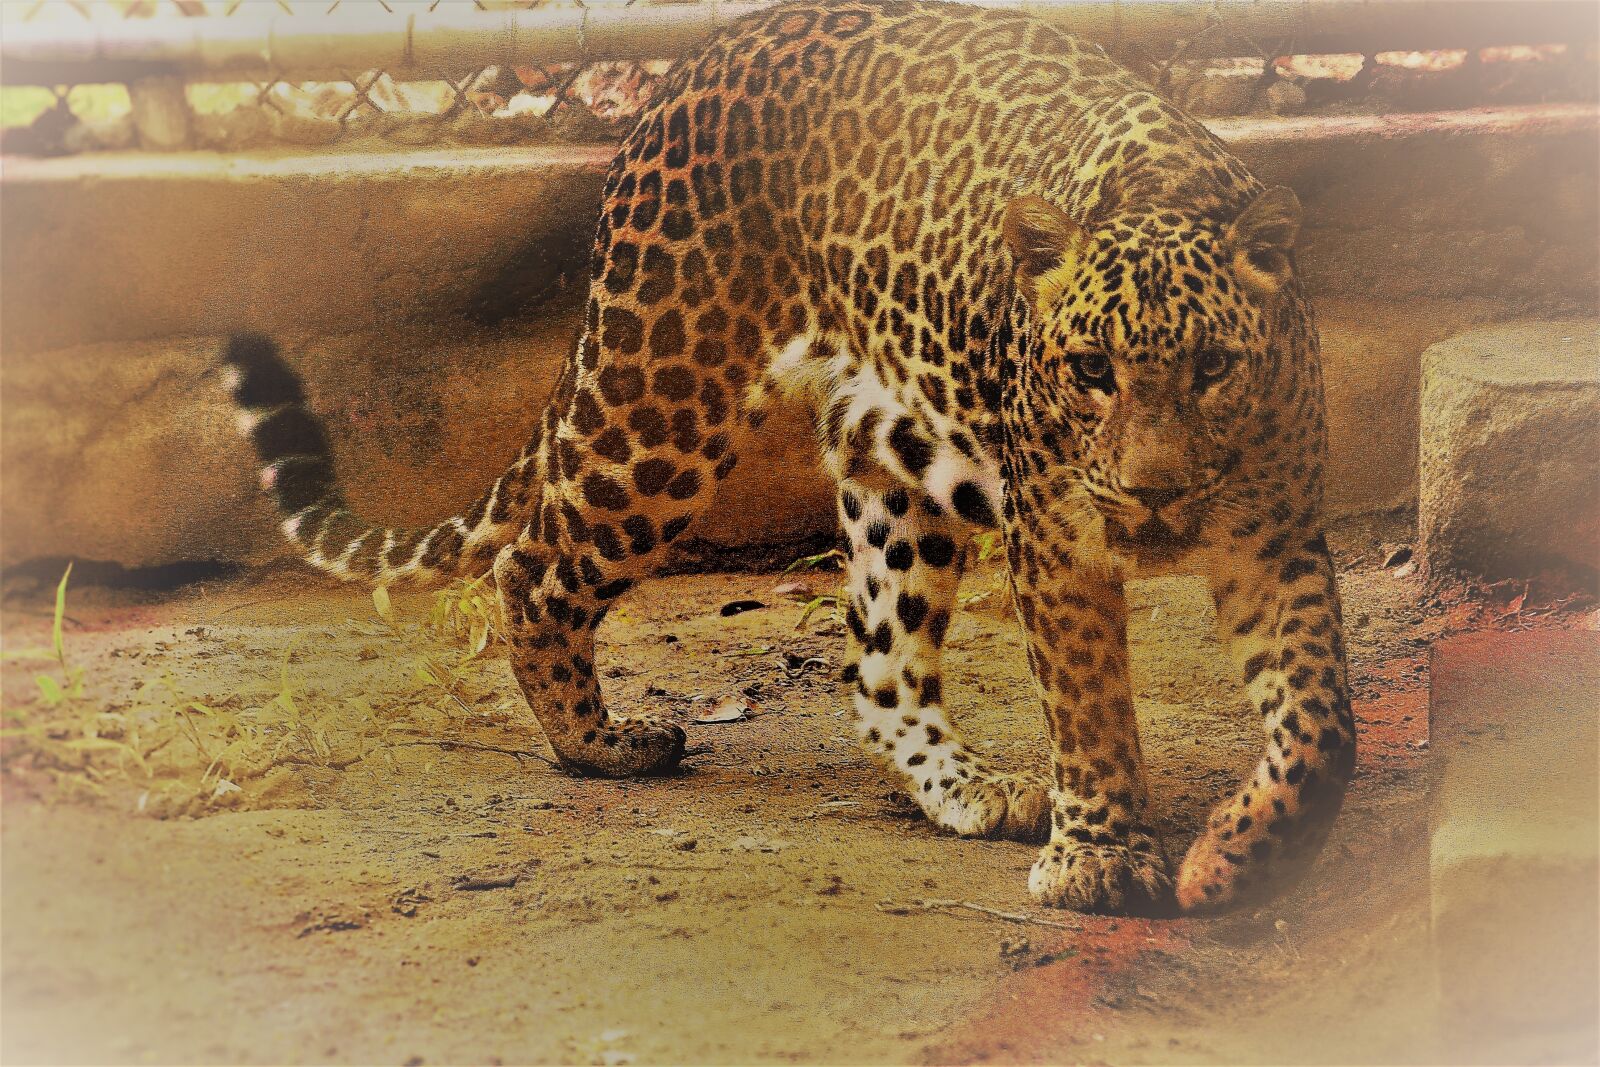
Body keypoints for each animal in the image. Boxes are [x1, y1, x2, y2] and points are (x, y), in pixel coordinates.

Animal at [222, 0, 1356, 915]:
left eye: (1212, 366)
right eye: (1089, 369)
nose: (1153, 494)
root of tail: (693, 61)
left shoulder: (1277, 537)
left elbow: (1321, 724)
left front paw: (1237, 853)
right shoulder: (1056, 539)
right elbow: (1091, 704)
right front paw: (1103, 856)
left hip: (899, 466)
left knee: (879, 667)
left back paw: (968, 784)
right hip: (660, 414)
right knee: (532, 566)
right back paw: (599, 745)